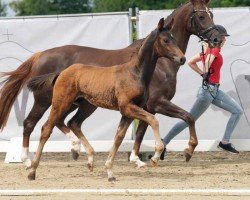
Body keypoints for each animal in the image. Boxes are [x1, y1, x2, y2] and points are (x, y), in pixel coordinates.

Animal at [27, 19, 186, 181]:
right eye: (165, 40)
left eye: (174, 38)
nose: (182, 58)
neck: (136, 73)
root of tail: (62, 72)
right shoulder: (128, 107)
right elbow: (153, 120)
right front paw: (155, 156)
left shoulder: (128, 112)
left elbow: (119, 137)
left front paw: (110, 172)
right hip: (61, 103)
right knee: (46, 128)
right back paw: (32, 170)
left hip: (83, 105)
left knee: (71, 123)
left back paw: (84, 156)